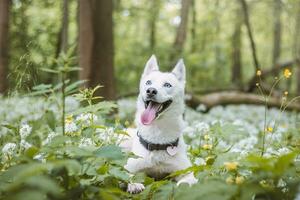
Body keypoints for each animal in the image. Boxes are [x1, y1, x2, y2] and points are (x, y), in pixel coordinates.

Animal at [121, 55, 197, 194]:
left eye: (167, 85)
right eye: (148, 82)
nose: (151, 91)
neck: (157, 132)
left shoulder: (186, 171)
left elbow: (187, 180)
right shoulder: (129, 167)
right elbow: (124, 173)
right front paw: (134, 185)